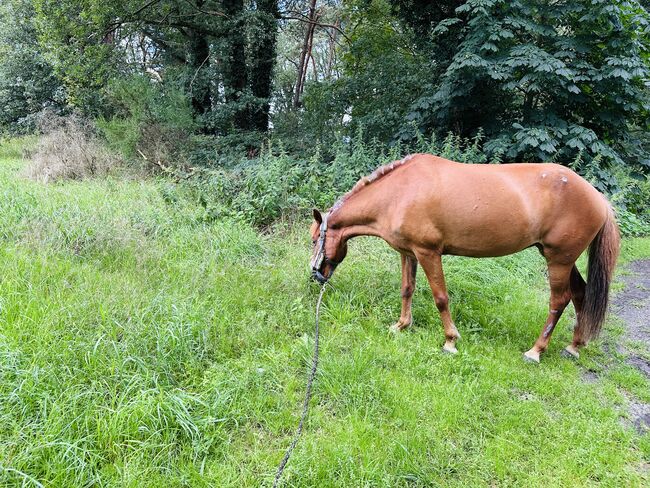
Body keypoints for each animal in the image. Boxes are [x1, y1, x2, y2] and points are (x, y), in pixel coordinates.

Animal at [308, 154, 616, 364]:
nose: (315, 275)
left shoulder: (428, 252)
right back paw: (574, 346)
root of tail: (598, 197)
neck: (399, 193)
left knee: (559, 301)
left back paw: (536, 350)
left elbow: (441, 298)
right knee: (580, 293)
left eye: (313, 240)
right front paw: (401, 326)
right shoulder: (408, 253)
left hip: (558, 261)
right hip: (562, 259)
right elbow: (407, 289)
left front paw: (450, 341)